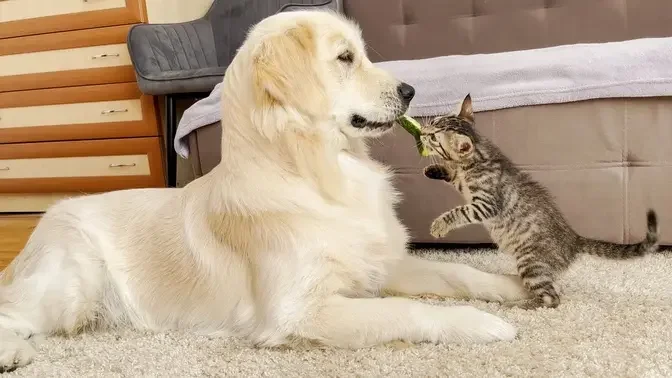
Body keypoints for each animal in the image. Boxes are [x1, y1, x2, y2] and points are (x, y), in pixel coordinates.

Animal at [0, 10, 528, 370]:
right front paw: (481, 323)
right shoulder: (300, 311)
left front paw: (513, 288)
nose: (411, 91)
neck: (317, 172)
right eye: (345, 58)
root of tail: (47, 219)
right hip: (69, 289)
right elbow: (406, 310)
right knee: (12, 311)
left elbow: (458, 272)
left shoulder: (379, 263)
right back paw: (14, 352)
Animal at [418, 94, 660, 310]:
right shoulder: (464, 184)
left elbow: (459, 212)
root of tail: (574, 239)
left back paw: (520, 305)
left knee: (553, 299)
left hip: (531, 264)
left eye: (434, 137)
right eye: (433, 121)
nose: (422, 131)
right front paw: (433, 169)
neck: (477, 158)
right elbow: (453, 175)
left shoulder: (486, 203)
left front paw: (439, 226)